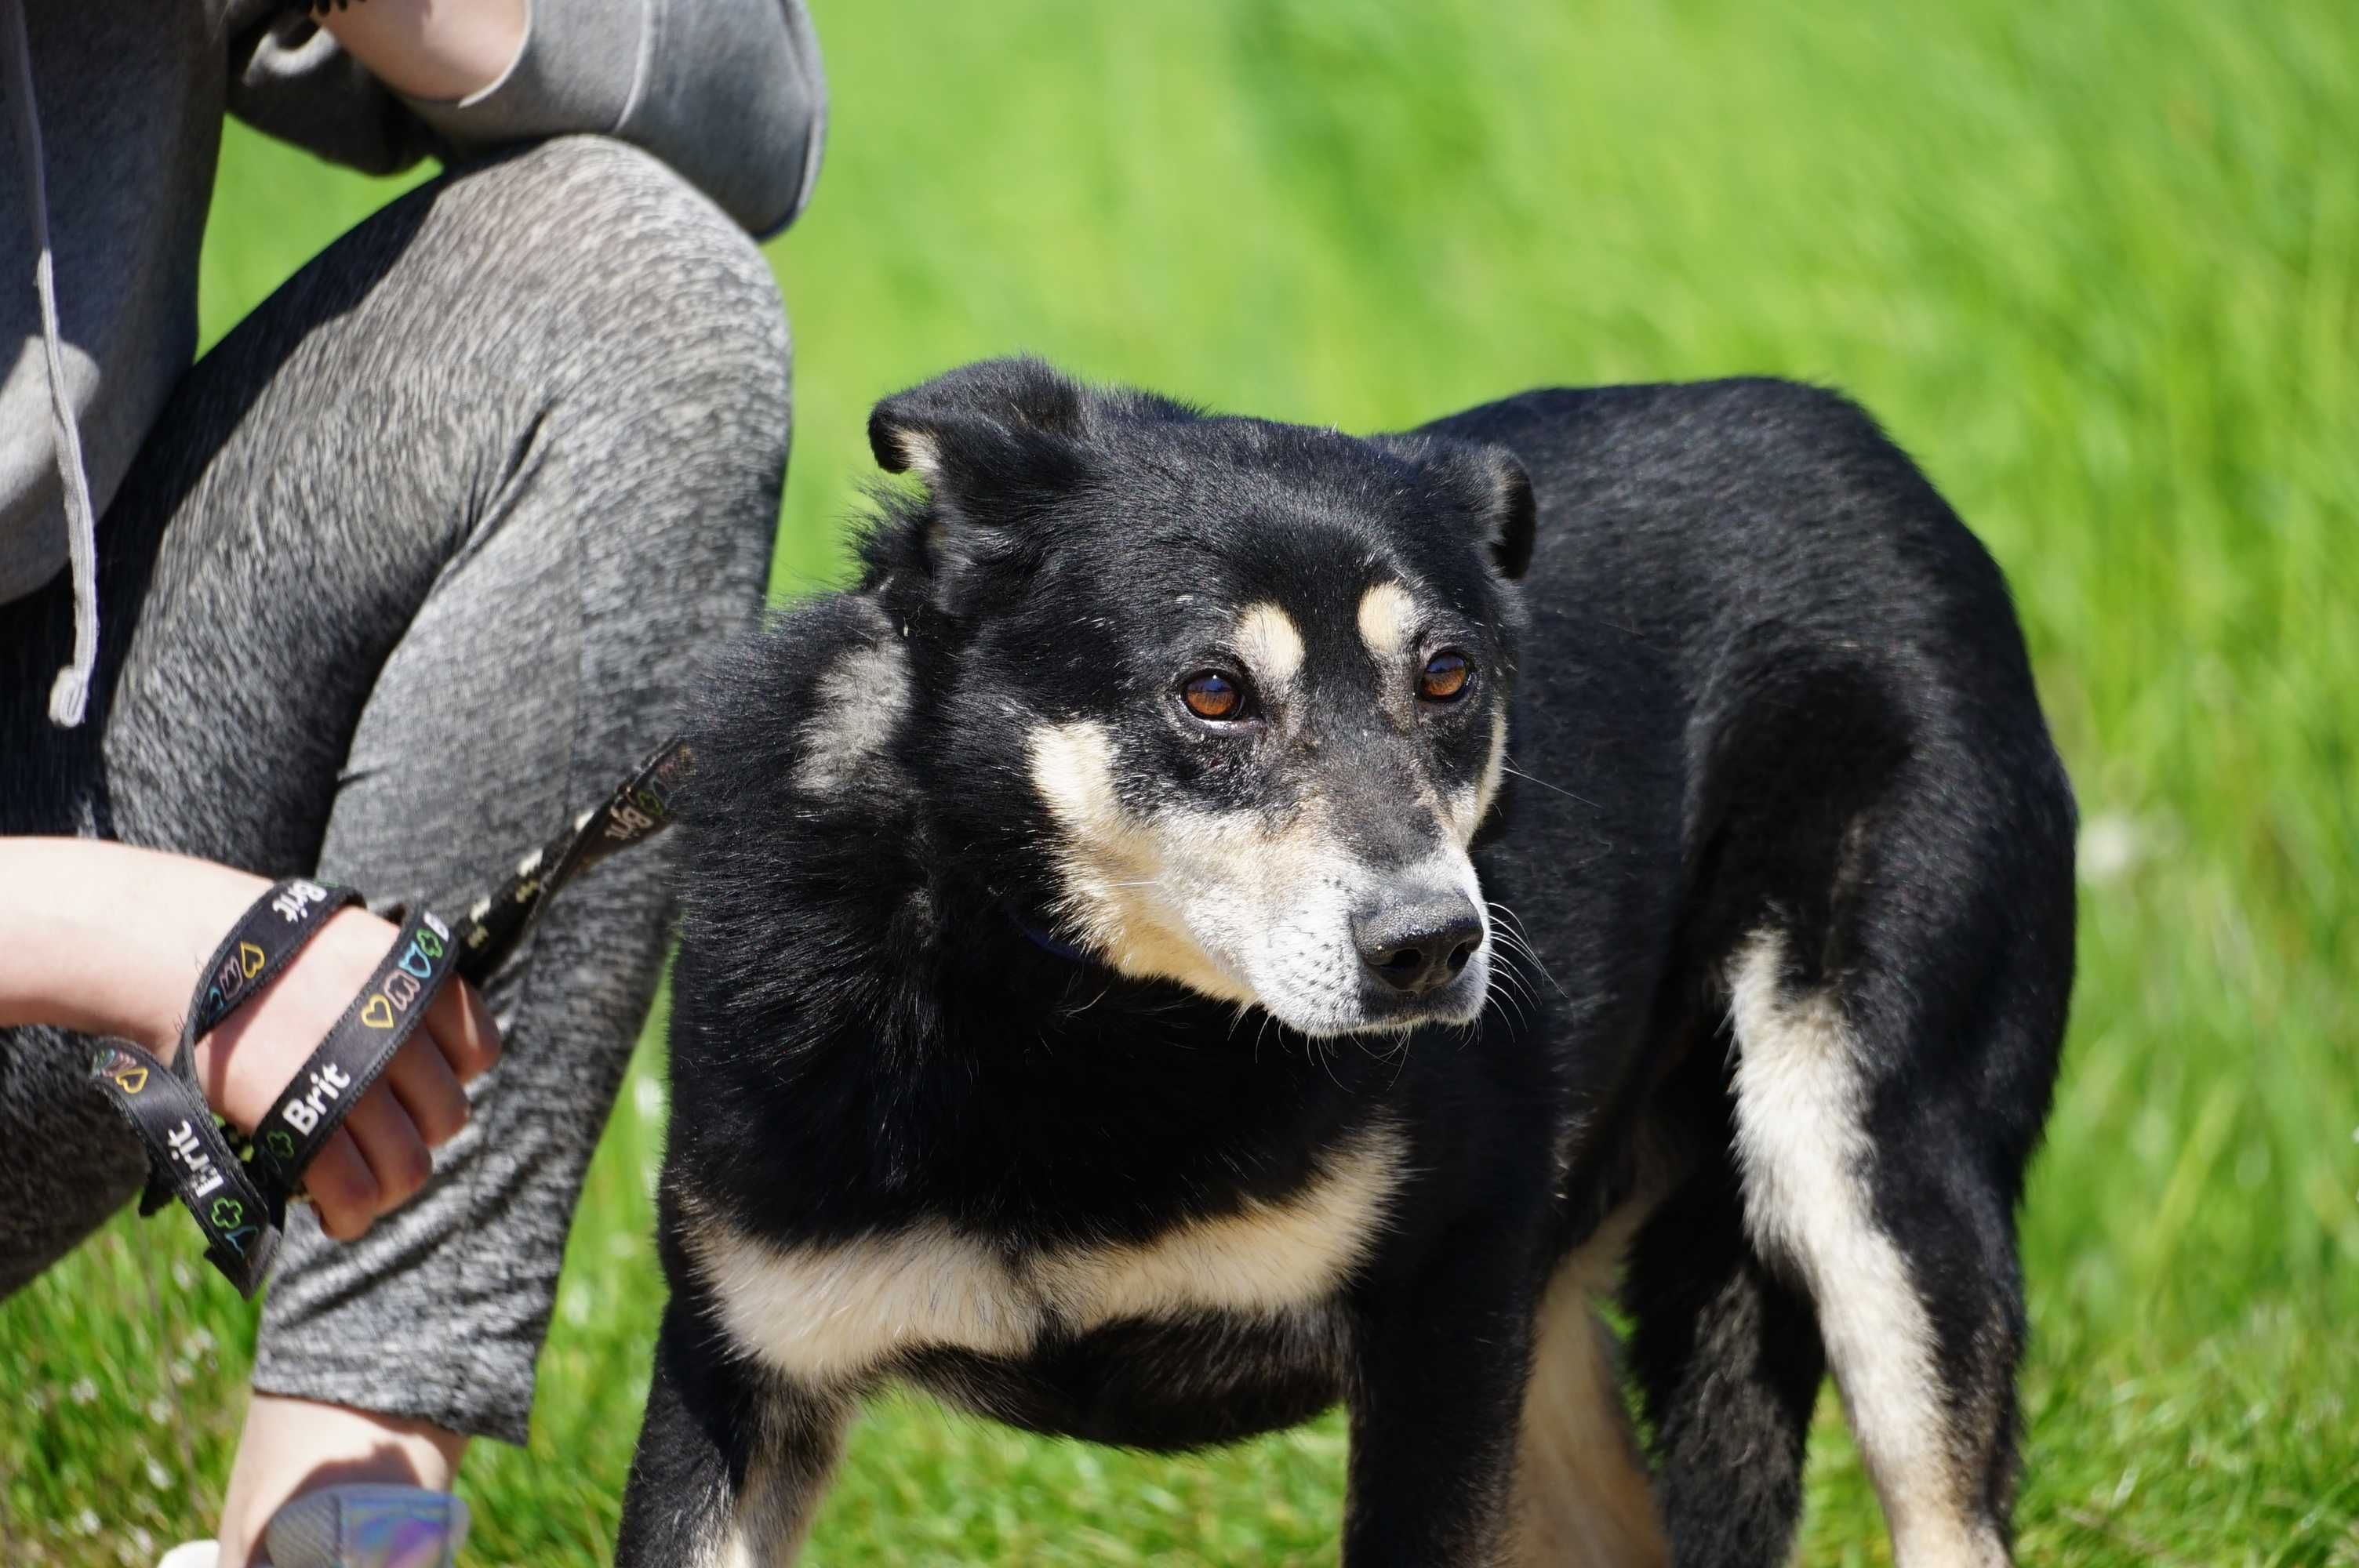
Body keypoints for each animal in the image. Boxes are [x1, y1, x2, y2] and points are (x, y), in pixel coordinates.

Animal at [618, 358, 2076, 1565]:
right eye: (1211, 692)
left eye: (1447, 677)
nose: (1431, 948)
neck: (1070, 1017)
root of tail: (1857, 442)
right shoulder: (734, 1367)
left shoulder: (1442, 1330)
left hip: (1858, 1165)